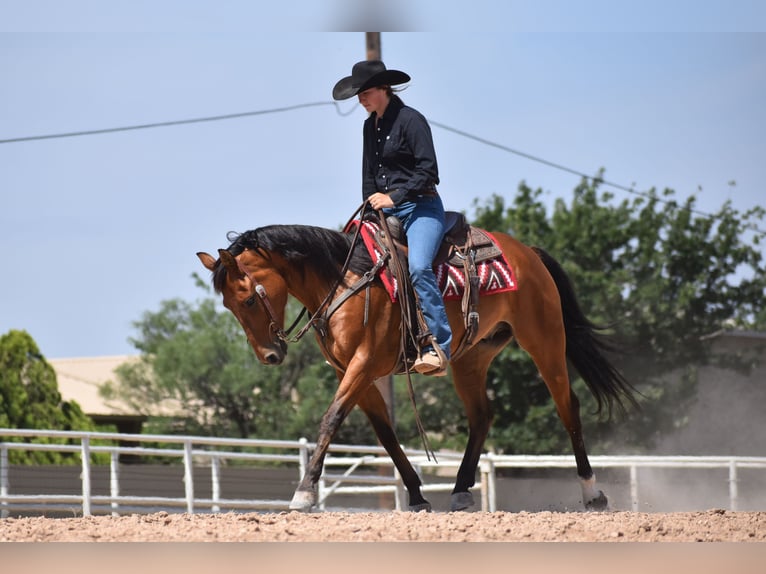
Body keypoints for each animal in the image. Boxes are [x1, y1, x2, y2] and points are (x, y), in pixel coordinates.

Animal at [197, 222, 638, 512]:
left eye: (248, 299)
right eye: (229, 305)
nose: (269, 355)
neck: (345, 280)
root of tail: (528, 252)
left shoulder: (363, 364)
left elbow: (331, 418)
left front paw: (304, 492)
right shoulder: (352, 372)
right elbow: (386, 435)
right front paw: (417, 494)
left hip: (544, 340)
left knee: (568, 407)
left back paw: (592, 494)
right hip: (471, 359)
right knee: (482, 416)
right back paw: (459, 490)